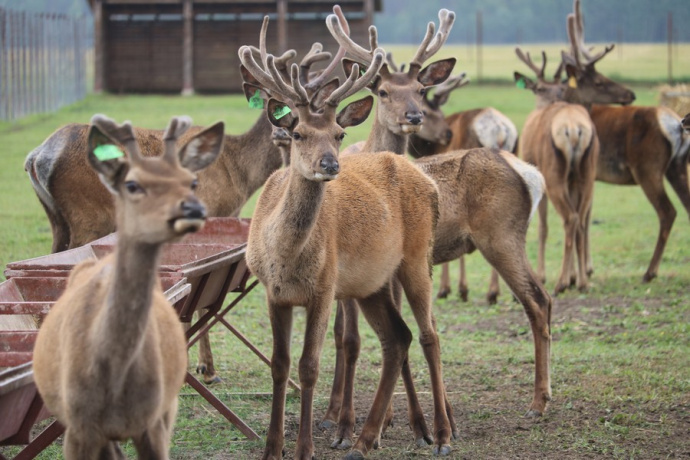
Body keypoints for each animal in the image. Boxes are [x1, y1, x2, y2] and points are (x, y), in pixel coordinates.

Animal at [512, 0, 684, 284]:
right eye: (599, 81)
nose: (630, 93)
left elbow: (549, 225)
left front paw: (553, 274)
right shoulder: (590, 177)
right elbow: (587, 218)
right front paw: (583, 271)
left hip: (644, 169)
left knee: (664, 212)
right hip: (673, 168)